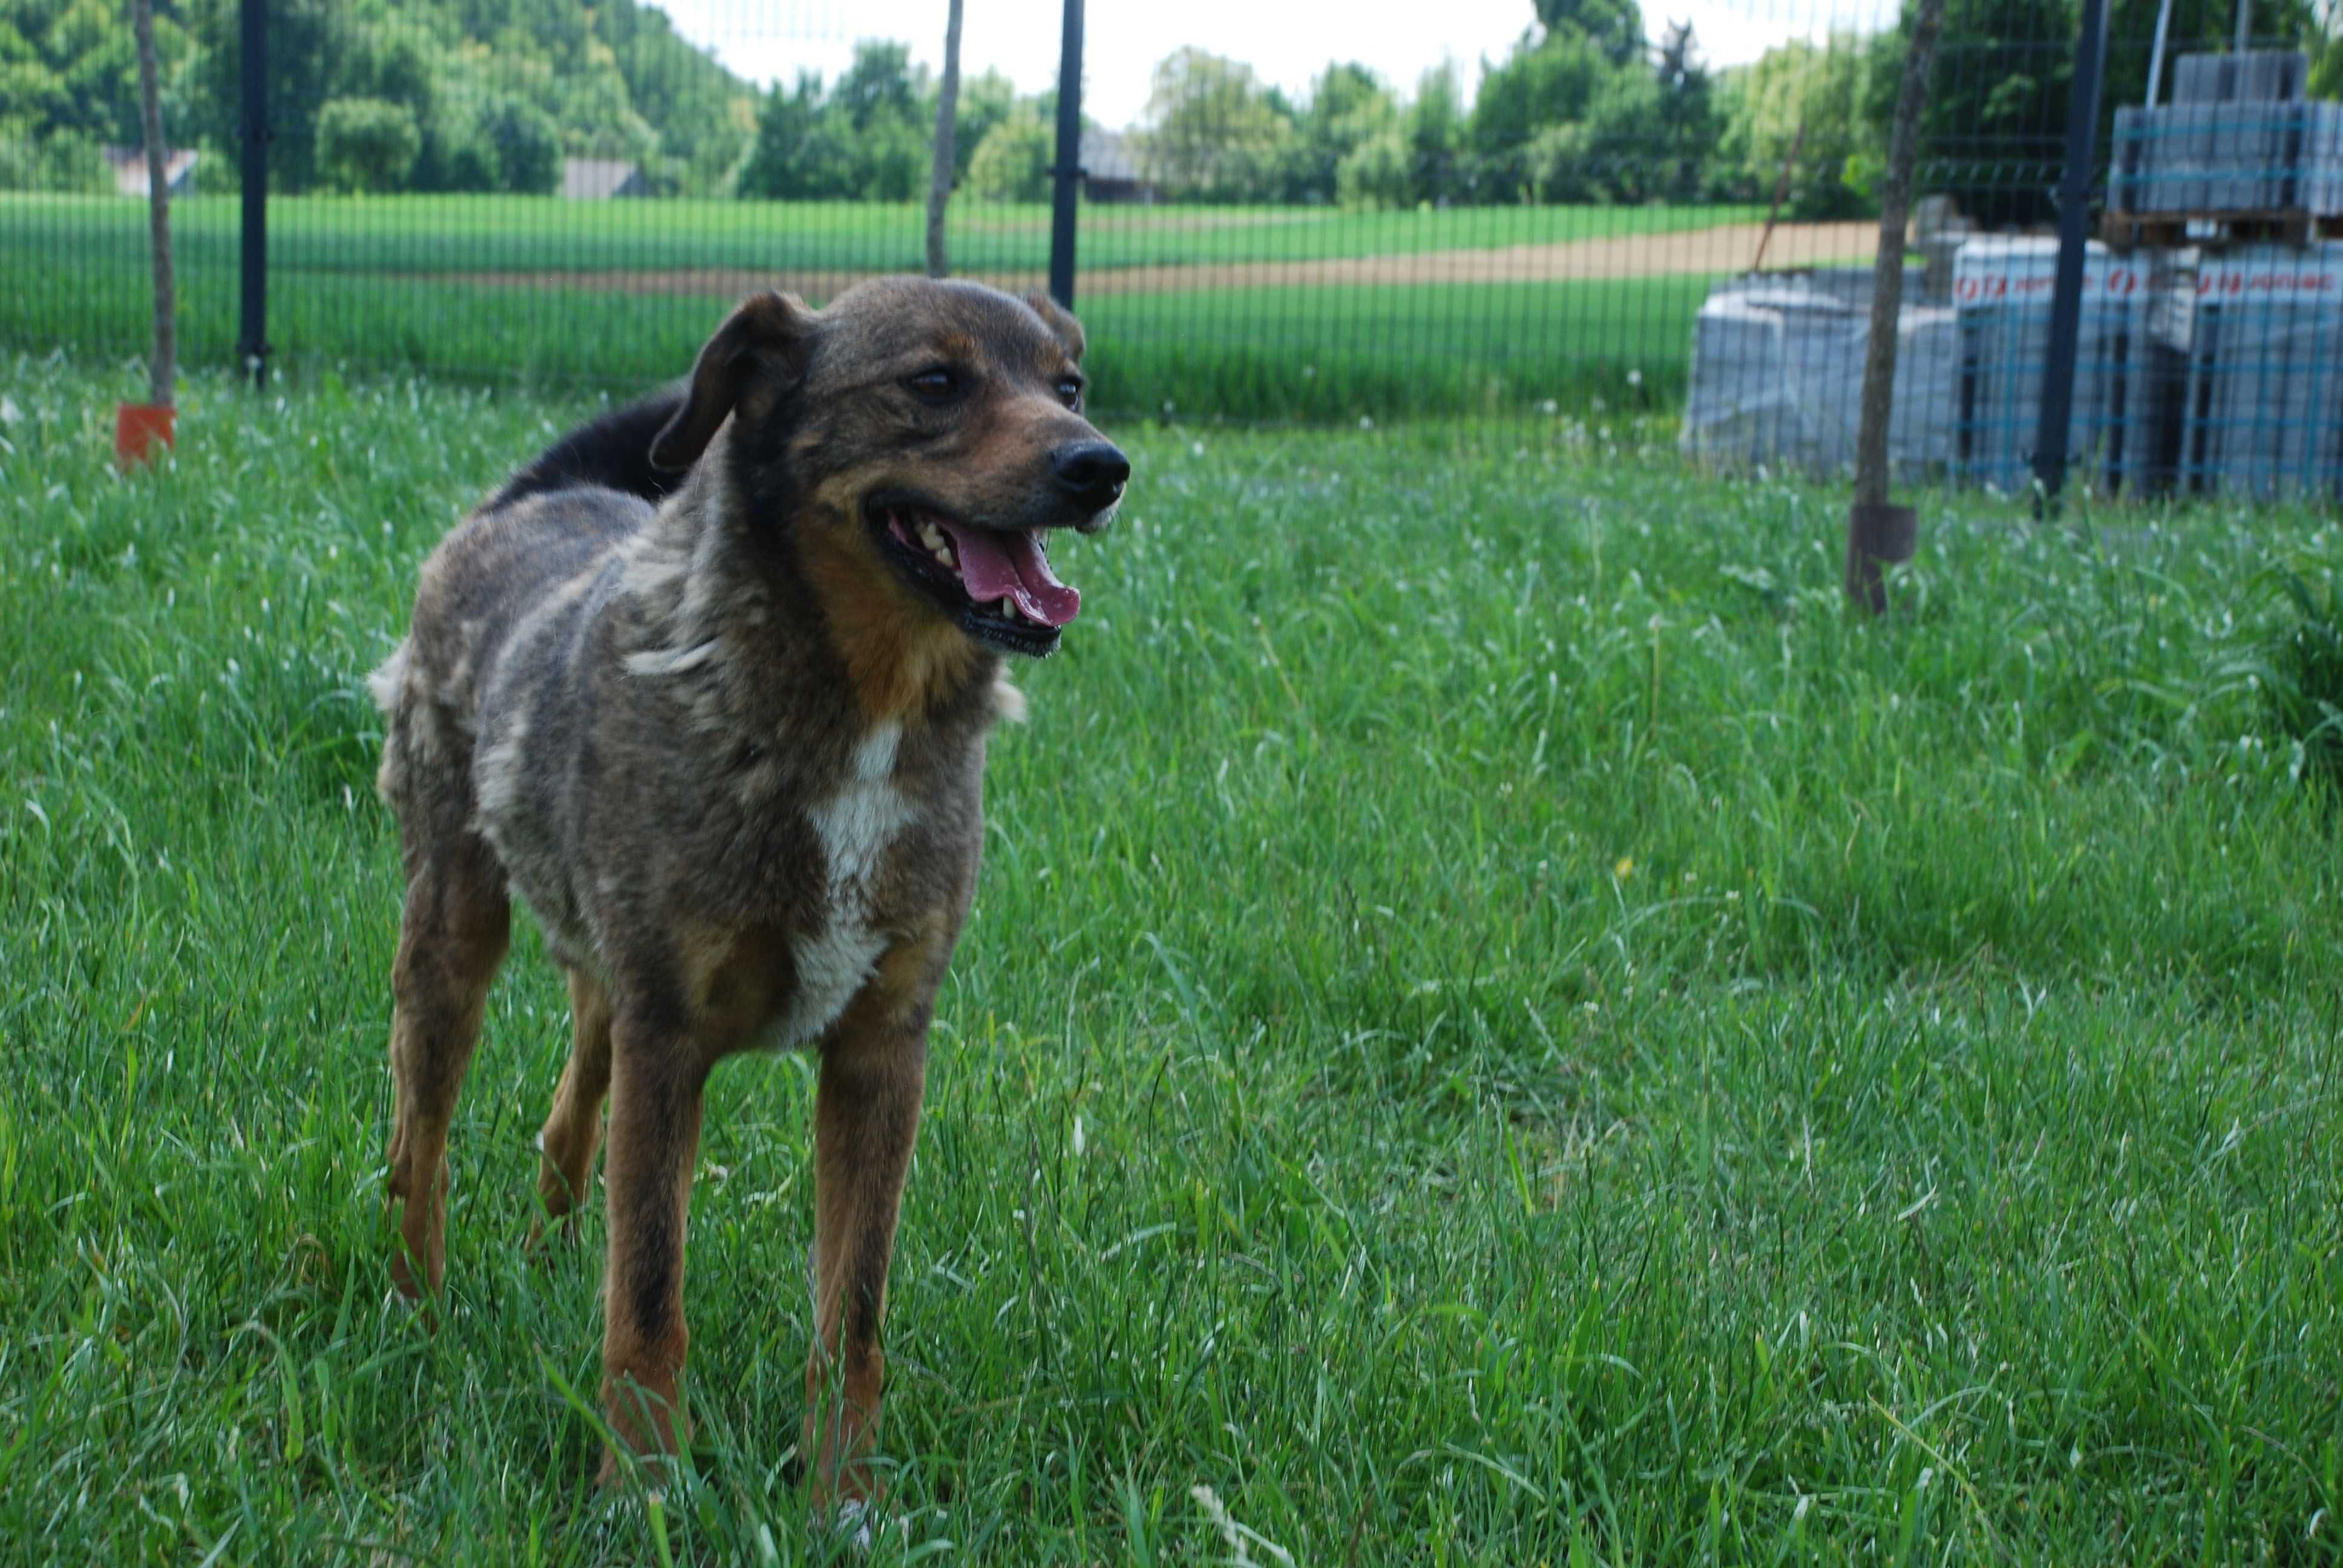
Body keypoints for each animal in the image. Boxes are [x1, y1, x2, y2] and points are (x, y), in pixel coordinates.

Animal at [365, 278, 1124, 1500]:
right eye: (934, 381)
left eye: (1070, 385)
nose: (1101, 466)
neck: (853, 717)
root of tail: (534, 498)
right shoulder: (670, 1037)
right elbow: (648, 1295)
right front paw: (641, 1491)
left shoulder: (880, 1049)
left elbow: (852, 1314)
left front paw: (844, 1503)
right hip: (450, 936)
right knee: (416, 1149)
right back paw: (419, 1314)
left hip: (604, 989)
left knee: (567, 1120)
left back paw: (549, 1258)